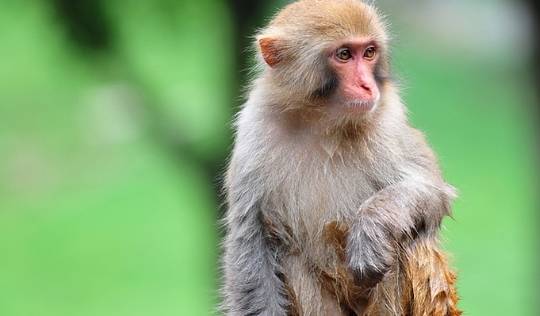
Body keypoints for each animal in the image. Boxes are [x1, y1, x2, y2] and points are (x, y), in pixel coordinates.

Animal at [221, 1, 462, 314]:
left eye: (369, 52)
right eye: (344, 55)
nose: (367, 86)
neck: (322, 123)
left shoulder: (388, 121)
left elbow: (429, 190)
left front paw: (370, 230)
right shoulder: (255, 127)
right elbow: (252, 236)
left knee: (405, 240)